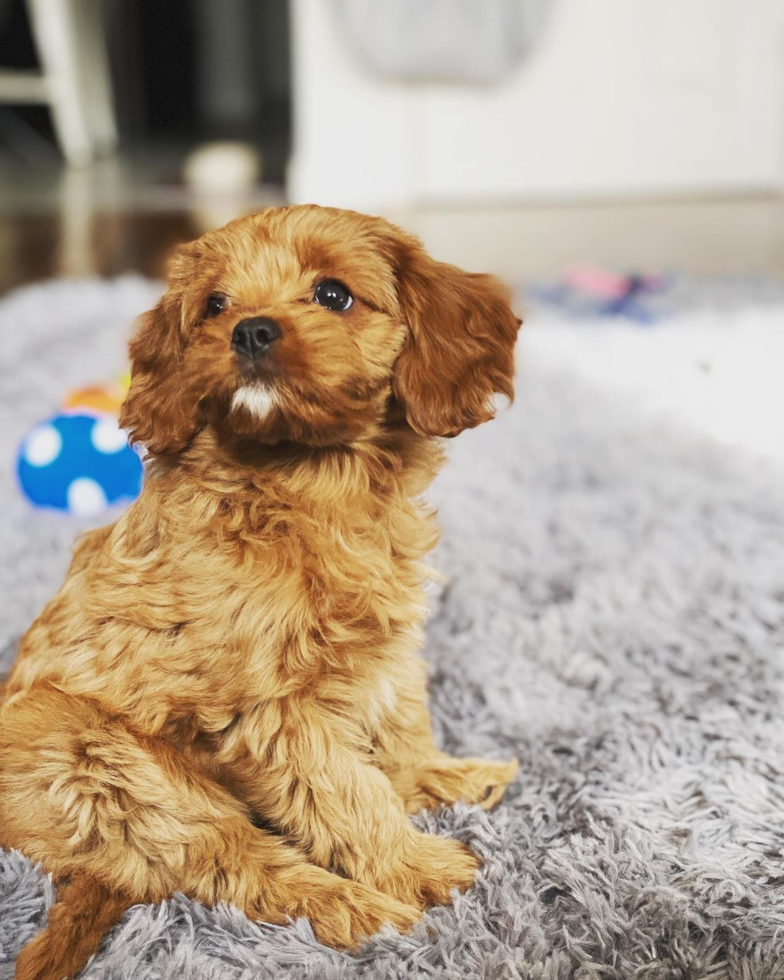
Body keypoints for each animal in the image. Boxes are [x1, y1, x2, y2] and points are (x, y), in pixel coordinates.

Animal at [0, 203, 520, 976]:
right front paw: (414, 867)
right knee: (236, 866)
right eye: (215, 305)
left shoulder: (386, 645)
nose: (249, 329)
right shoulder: (271, 708)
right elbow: (346, 792)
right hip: (112, 770)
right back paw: (363, 909)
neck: (308, 478)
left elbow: (397, 727)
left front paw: (432, 774)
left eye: (333, 294)